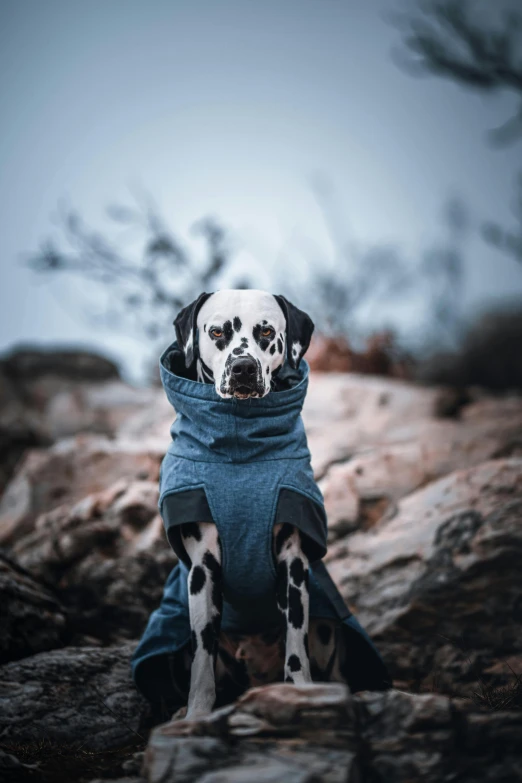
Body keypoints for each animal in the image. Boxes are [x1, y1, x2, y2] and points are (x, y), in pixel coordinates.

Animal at [172, 290, 346, 720]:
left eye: (266, 331)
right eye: (217, 332)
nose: (243, 368)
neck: (241, 452)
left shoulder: (294, 566)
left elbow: (296, 649)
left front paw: (301, 694)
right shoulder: (203, 570)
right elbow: (203, 658)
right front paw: (197, 714)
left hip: (327, 626)